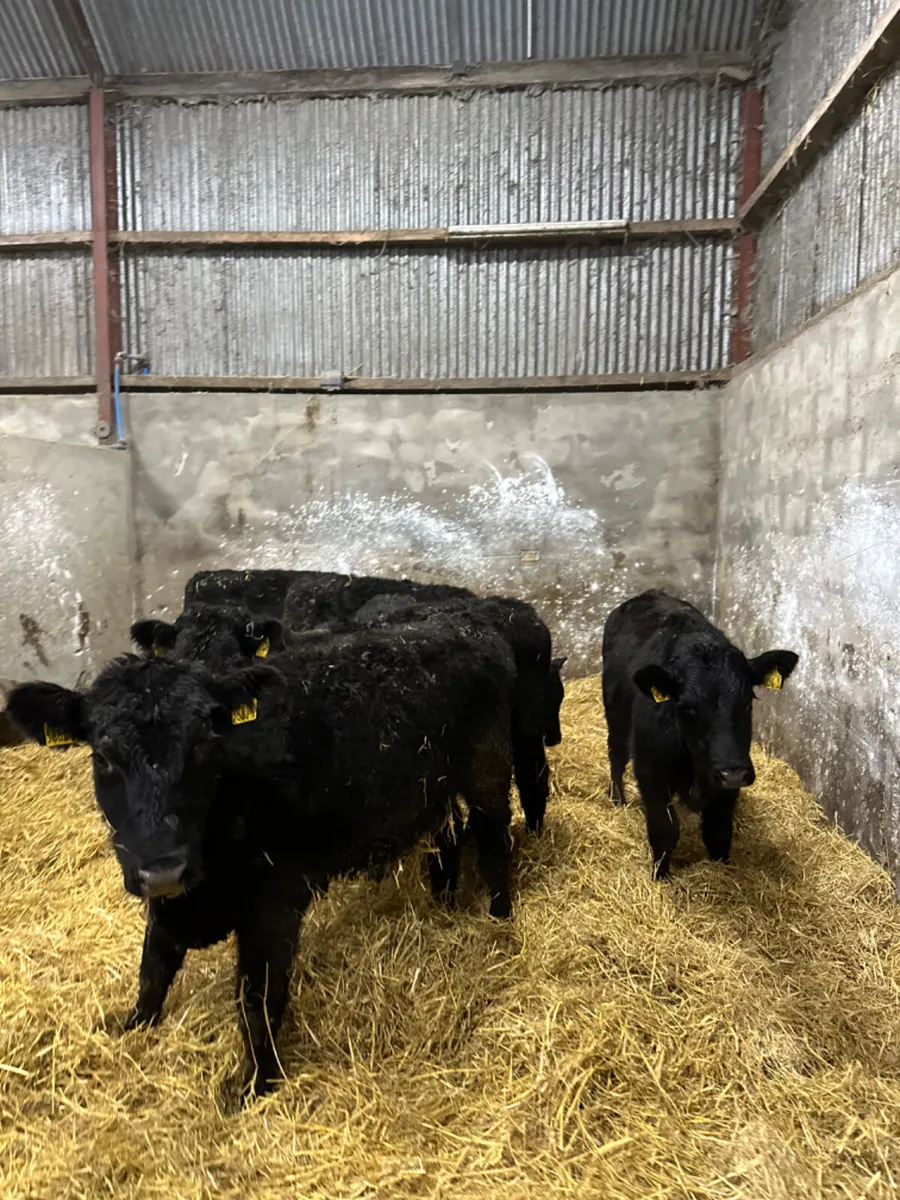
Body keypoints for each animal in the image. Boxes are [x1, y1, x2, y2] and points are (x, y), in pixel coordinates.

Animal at [6, 625, 516, 1098]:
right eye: (104, 757)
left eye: (201, 745)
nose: (164, 870)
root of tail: (461, 628)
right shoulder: (166, 899)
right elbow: (152, 969)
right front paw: (130, 1026)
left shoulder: (276, 901)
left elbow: (258, 997)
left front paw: (256, 1084)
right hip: (435, 792)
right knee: (448, 838)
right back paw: (443, 903)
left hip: (488, 772)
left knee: (495, 843)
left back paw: (500, 919)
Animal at [601, 590, 798, 879]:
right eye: (686, 708)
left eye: (747, 702)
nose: (732, 773)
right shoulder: (651, 773)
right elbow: (665, 832)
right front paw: (660, 876)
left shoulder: (728, 783)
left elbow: (718, 833)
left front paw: (722, 871)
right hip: (615, 715)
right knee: (616, 756)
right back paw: (617, 798)